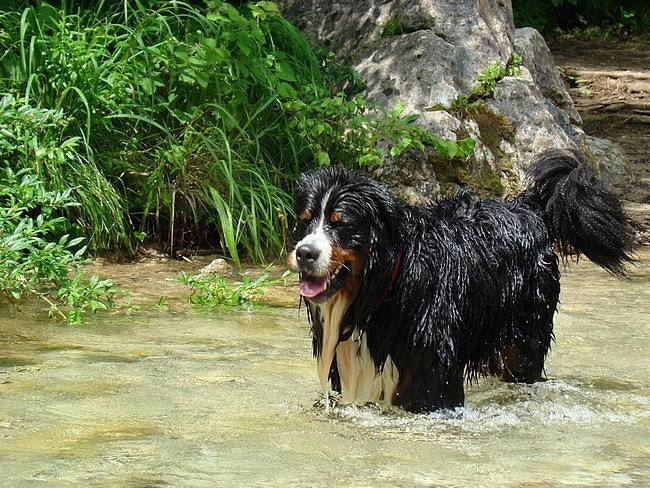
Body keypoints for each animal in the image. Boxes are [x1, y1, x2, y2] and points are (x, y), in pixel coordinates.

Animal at [286, 149, 632, 412]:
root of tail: (528, 207)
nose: (304, 253)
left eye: (341, 224)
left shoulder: (432, 380)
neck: (383, 292)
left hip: (523, 341)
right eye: (305, 222)